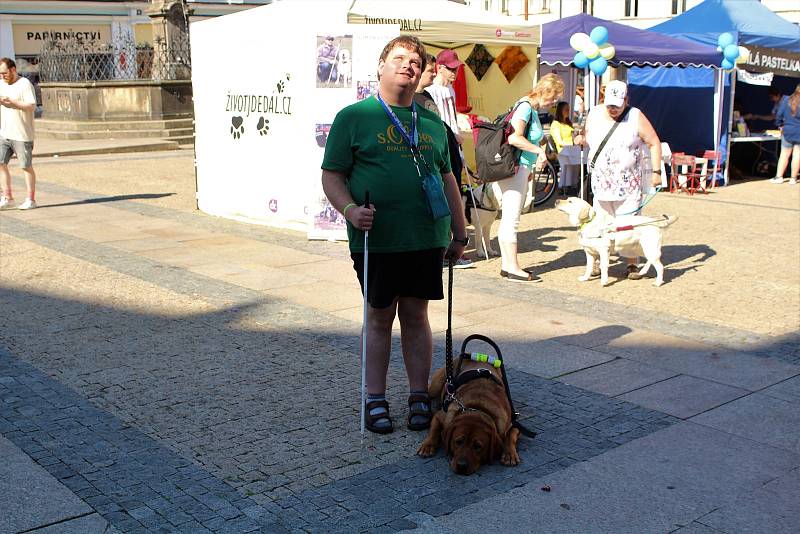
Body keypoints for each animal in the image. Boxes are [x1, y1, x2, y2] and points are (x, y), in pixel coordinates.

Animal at [552, 198, 680, 288]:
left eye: (570, 201)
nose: (556, 200)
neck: (588, 223)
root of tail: (656, 222)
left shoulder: (604, 251)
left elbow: (603, 266)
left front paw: (604, 281)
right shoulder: (590, 253)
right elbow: (588, 267)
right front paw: (585, 278)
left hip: (649, 248)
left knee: (660, 267)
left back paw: (658, 282)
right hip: (642, 248)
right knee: (651, 261)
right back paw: (643, 271)